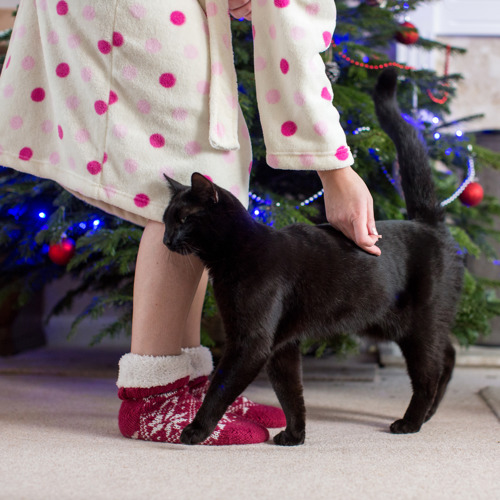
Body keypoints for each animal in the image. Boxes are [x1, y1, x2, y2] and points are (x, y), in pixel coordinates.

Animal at [162, 67, 462, 446]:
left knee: (429, 372)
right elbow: (291, 392)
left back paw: (410, 422)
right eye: (165, 219)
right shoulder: (281, 345)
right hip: (394, 324)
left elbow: (221, 387)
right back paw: (430, 413)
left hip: (419, 325)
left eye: (184, 219)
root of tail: (427, 222)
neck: (239, 250)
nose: (165, 239)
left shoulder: (251, 342)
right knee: (448, 355)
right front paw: (295, 435)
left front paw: (196, 430)